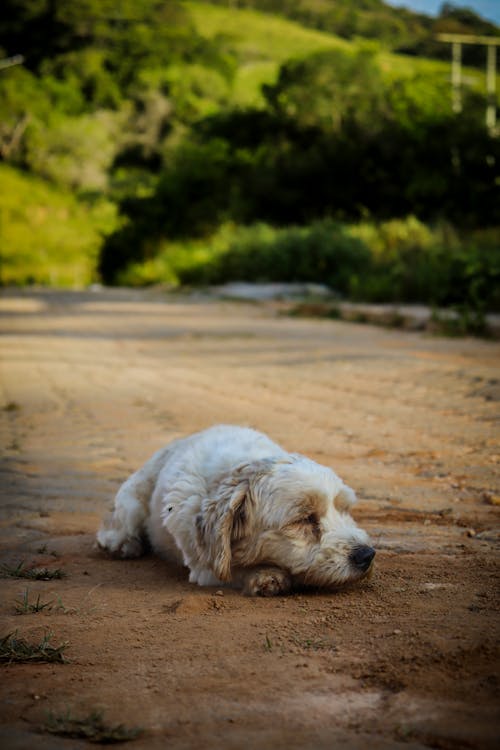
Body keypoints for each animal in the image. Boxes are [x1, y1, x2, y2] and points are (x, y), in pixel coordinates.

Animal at [95, 426, 374, 596]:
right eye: (304, 519)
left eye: (344, 509)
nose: (367, 555)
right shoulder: (205, 566)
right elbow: (236, 569)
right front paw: (265, 575)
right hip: (132, 504)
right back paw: (123, 544)